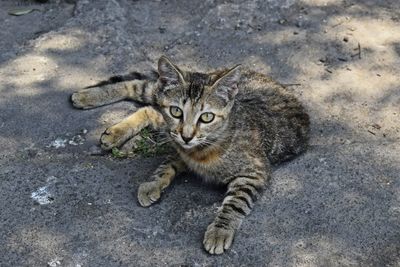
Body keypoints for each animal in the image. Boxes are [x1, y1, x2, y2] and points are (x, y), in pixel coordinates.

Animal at [70, 56, 310, 255]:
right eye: (176, 111)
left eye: (207, 117)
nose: (186, 135)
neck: (202, 150)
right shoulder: (178, 143)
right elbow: (166, 163)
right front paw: (153, 183)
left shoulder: (255, 171)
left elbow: (235, 202)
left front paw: (219, 230)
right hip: (161, 100)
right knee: (142, 88)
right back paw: (87, 98)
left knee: (150, 108)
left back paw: (111, 128)